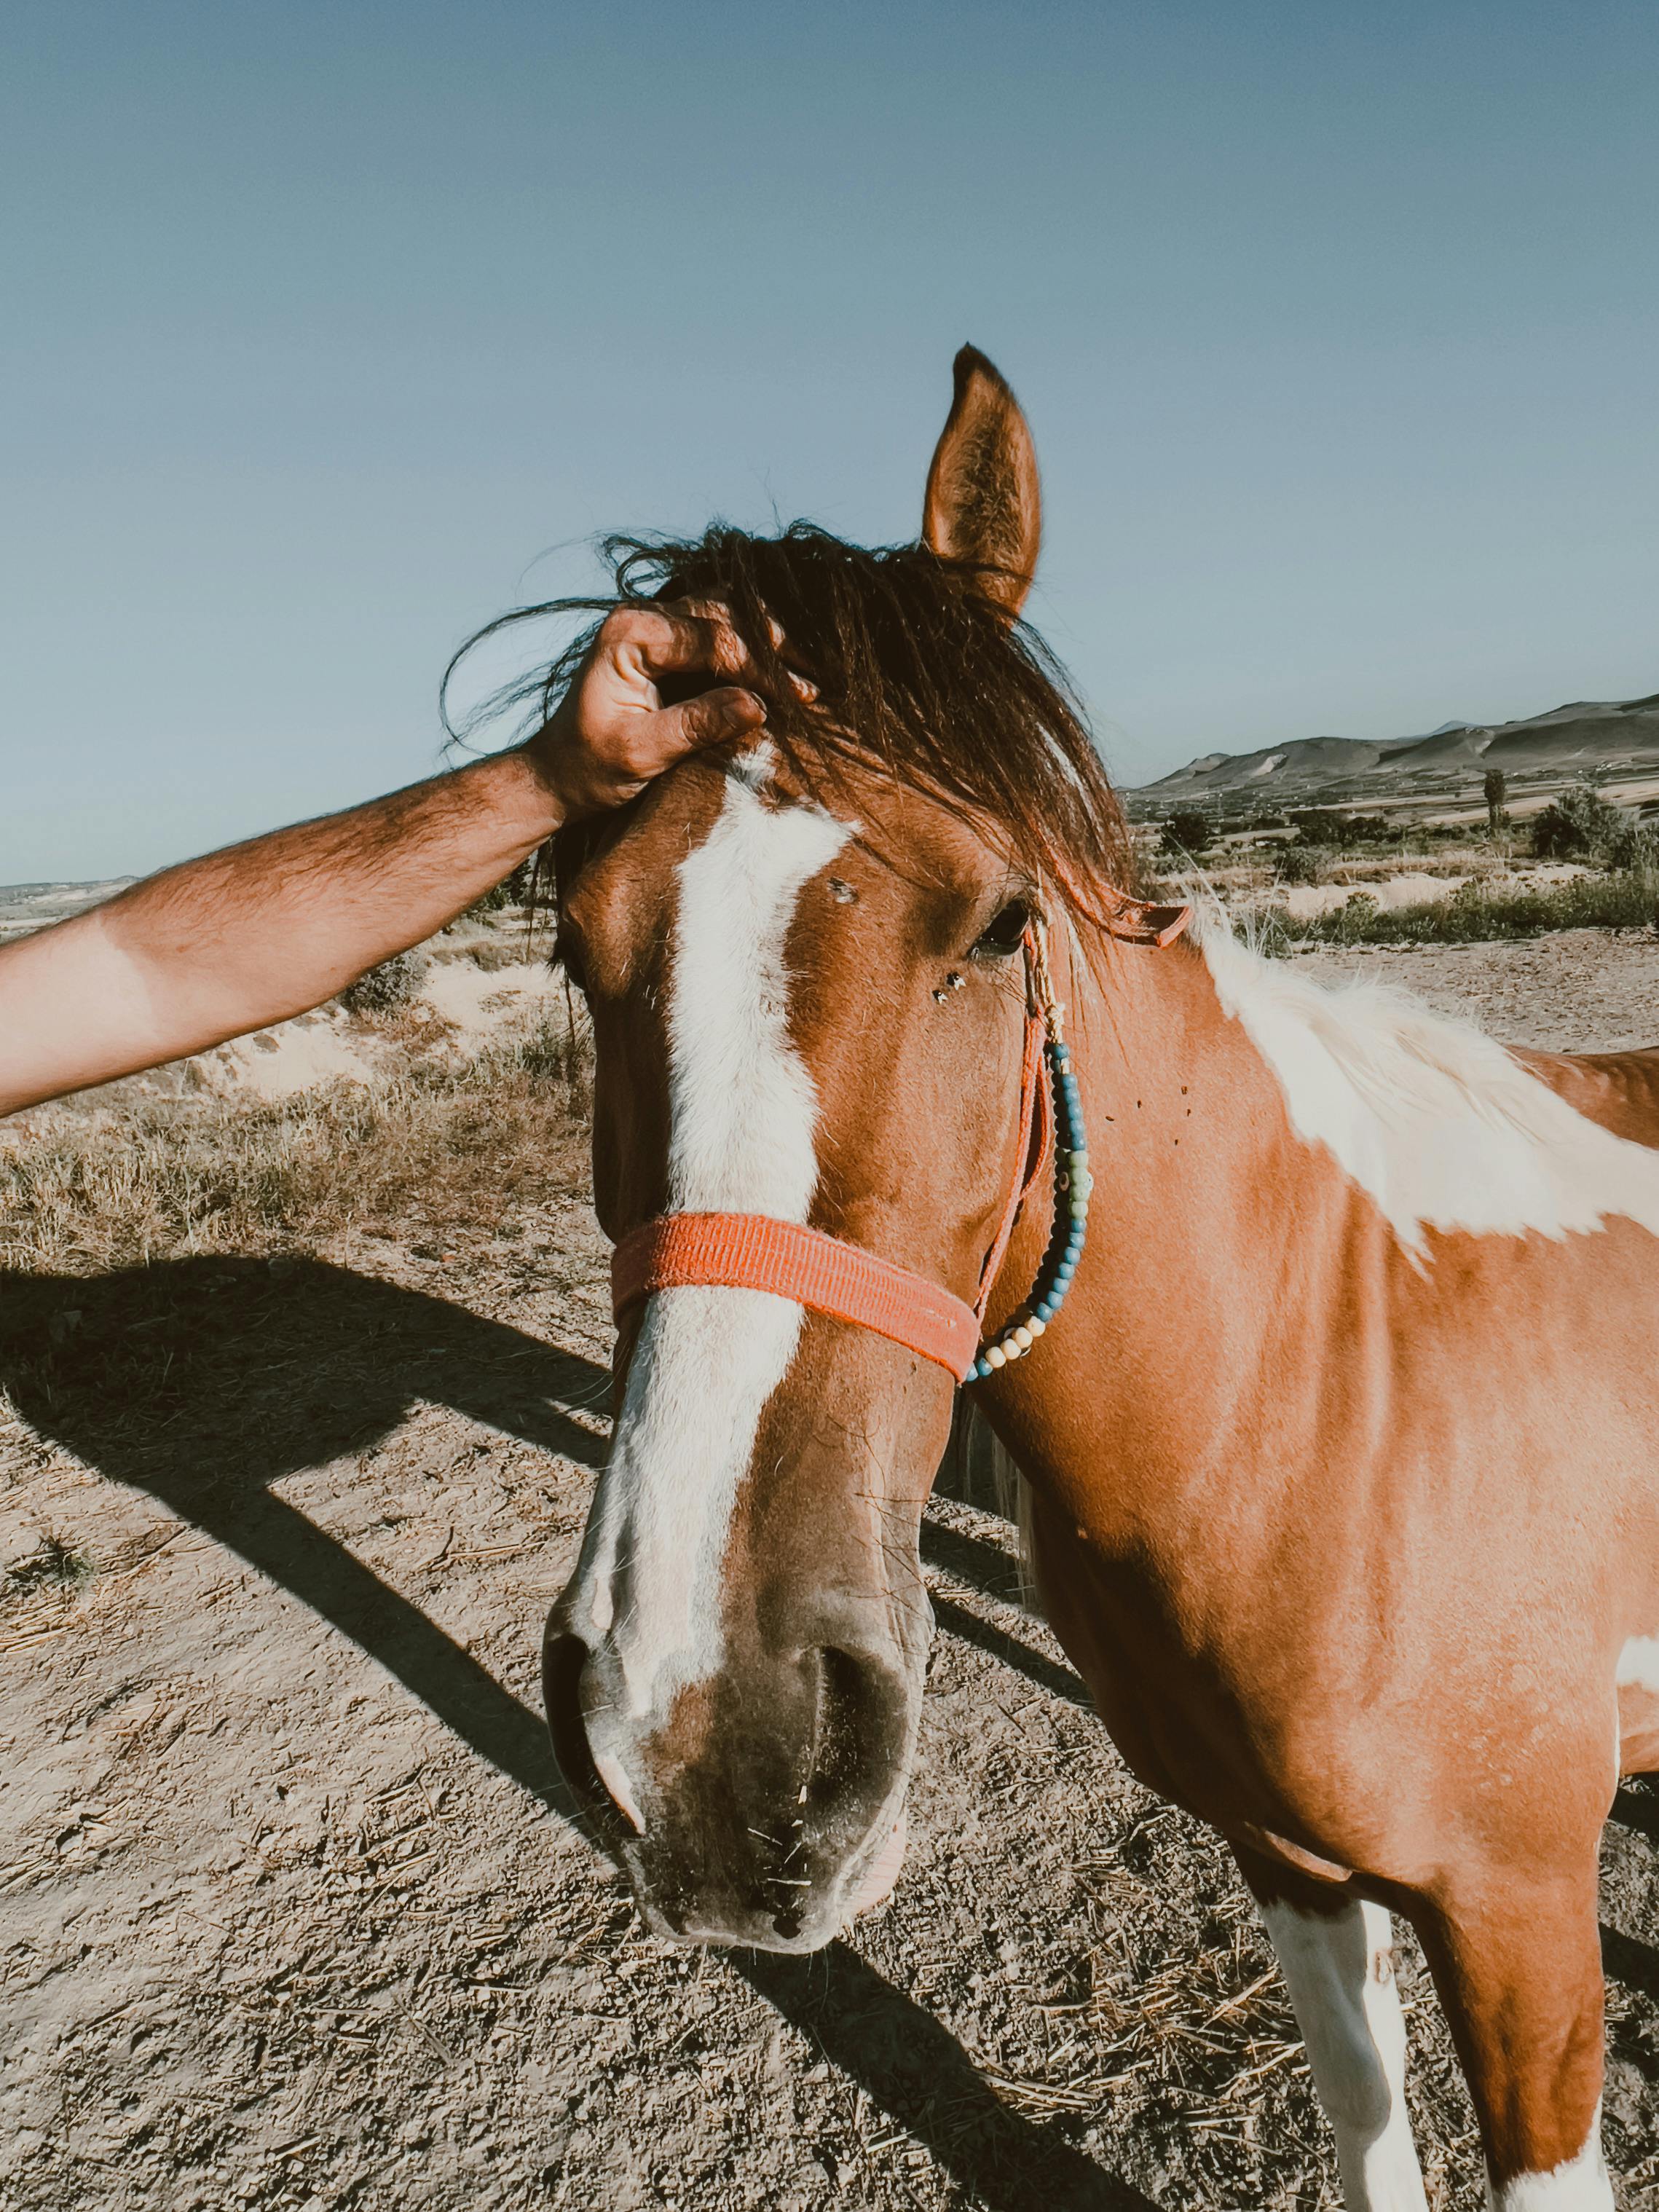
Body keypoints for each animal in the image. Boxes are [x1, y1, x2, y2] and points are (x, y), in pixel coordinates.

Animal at [532, 349, 1659, 2212]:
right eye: (574, 935)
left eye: (996, 927)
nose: (705, 1729)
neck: (1325, 1396)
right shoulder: (1284, 1861)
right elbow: (1363, 2121)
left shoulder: (1517, 1923)